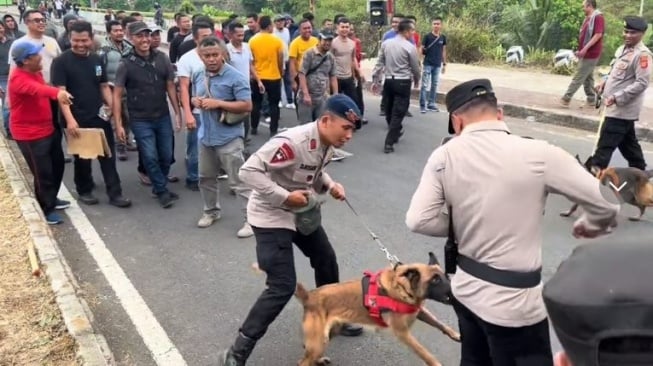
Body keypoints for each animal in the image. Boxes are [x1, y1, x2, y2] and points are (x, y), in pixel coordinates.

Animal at [294, 253, 458, 366]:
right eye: (435, 280)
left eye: (447, 277)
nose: (455, 292)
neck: (402, 287)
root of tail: (309, 296)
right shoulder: (403, 333)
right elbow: (424, 352)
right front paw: (436, 363)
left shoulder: (419, 311)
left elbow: (439, 323)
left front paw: (456, 334)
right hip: (318, 341)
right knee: (302, 362)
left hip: (328, 335)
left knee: (307, 353)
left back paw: (319, 359)